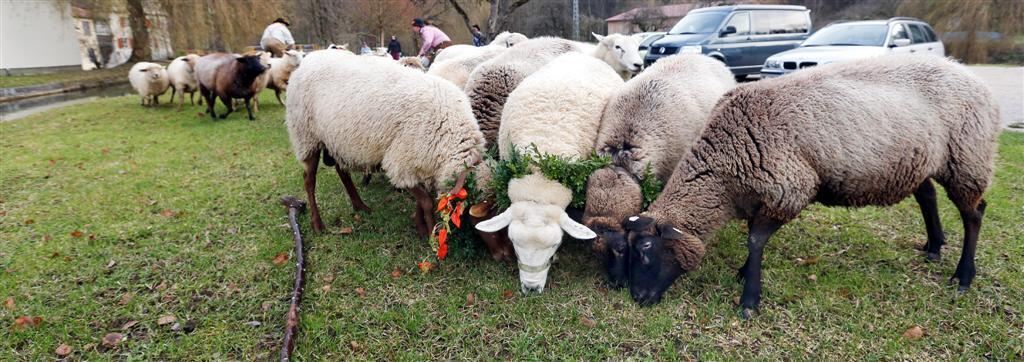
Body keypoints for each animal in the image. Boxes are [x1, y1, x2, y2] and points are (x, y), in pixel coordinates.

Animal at [284, 50, 483, 237]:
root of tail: (307, 60)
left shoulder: (417, 163)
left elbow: (422, 199)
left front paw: (418, 224)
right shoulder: (400, 162)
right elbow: (426, 201)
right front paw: (427, 231)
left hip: (337, 140)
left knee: (342, 172)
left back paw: (360, 206)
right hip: (306, 136)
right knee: (309, 180)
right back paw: (317, 224)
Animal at [618, 53, 1003, 317]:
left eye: (647, 249)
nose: (637, 298)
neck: (723, 176)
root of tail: (973, 78)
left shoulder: (789, 189)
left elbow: (755, 240)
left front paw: (749, 300)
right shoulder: (759, 193)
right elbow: (753, 239)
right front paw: (744, 274)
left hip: (967, 157)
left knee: (974, 214)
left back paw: (963, 277)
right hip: (918, 160)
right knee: (928, 196)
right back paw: (934, 246)